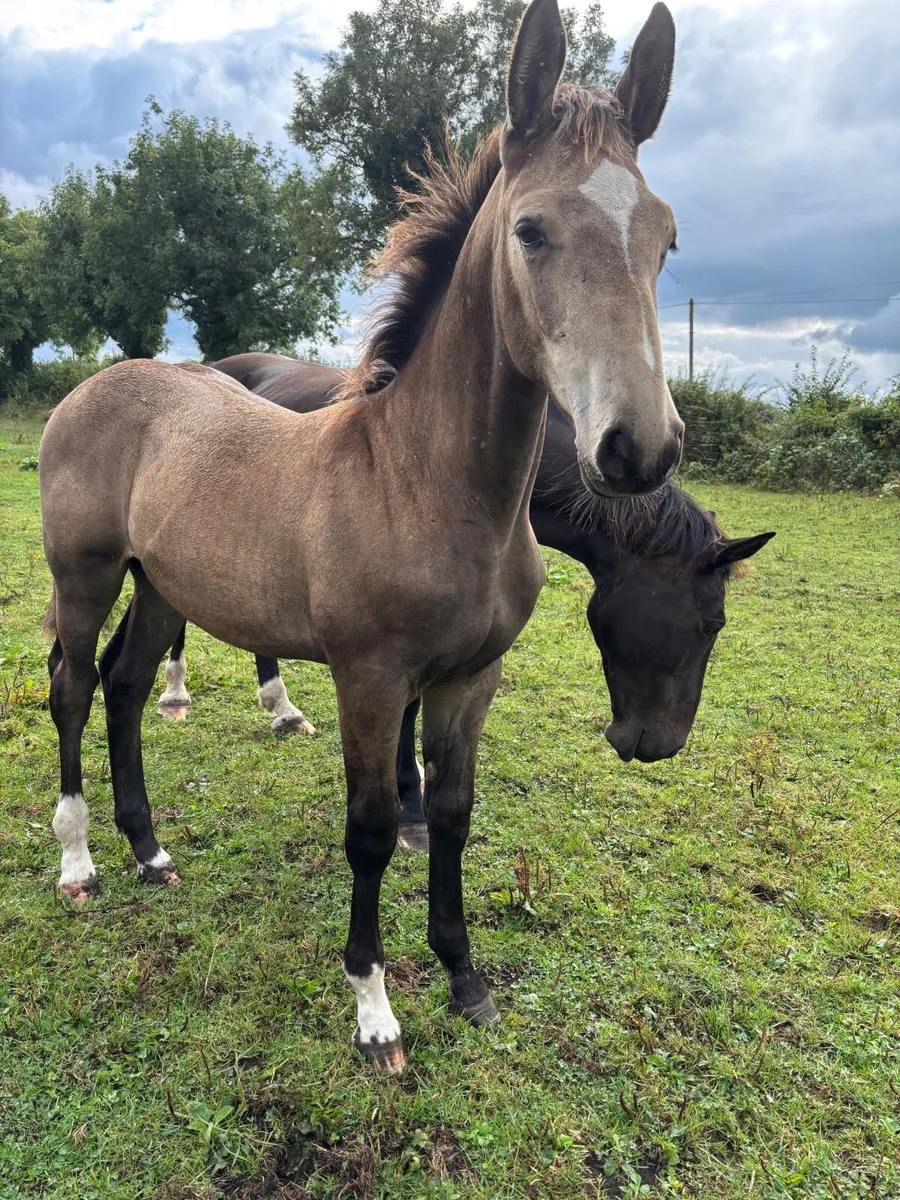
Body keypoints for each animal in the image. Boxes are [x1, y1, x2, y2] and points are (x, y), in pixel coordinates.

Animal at [40, 0, 685, 1072]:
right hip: (84, 575)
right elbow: (374, 828)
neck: (420, 482)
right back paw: (81, 860)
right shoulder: (372, 679)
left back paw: (150, 850)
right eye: (531, 230)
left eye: (666, 238)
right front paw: (374, 1009)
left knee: (129, 688)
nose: (638, 448)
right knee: (75, 688)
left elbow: (453, 816)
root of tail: (100, 383)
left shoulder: (471, 679)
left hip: (165, 581)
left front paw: (466, 979)